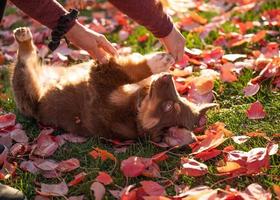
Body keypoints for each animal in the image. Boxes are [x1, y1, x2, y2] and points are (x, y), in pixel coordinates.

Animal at [10, 27, 215, 142]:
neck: (136, 108)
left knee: (25, 62)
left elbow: (127, 71)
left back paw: (23, 38)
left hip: (28, 92)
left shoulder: (100, 85)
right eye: (181, 97)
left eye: (168, 107)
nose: (168, 77)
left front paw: (158, 62)